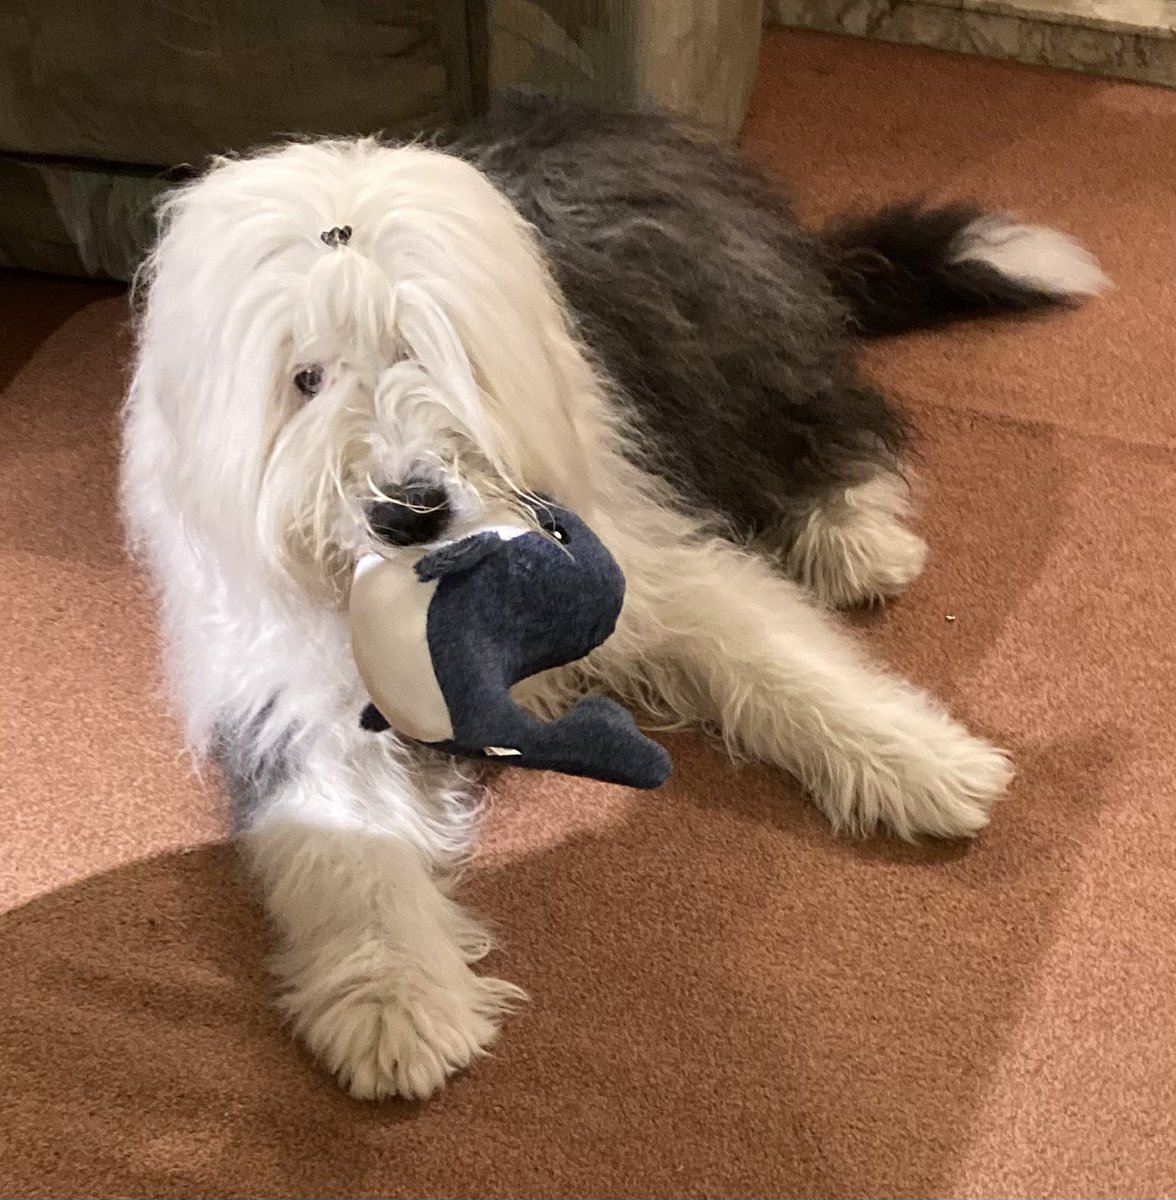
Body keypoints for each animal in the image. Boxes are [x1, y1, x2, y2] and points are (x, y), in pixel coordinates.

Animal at [124, 98, 1108, 1099]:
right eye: (305, 379)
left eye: (425, 350)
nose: (408, 509)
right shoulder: (297, 695)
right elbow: (348, 841)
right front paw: (394, 1003)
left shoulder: (642, 561)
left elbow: (770, 655)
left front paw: (921, 763)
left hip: (734, 347)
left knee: (827, 424)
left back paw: (858, 540)